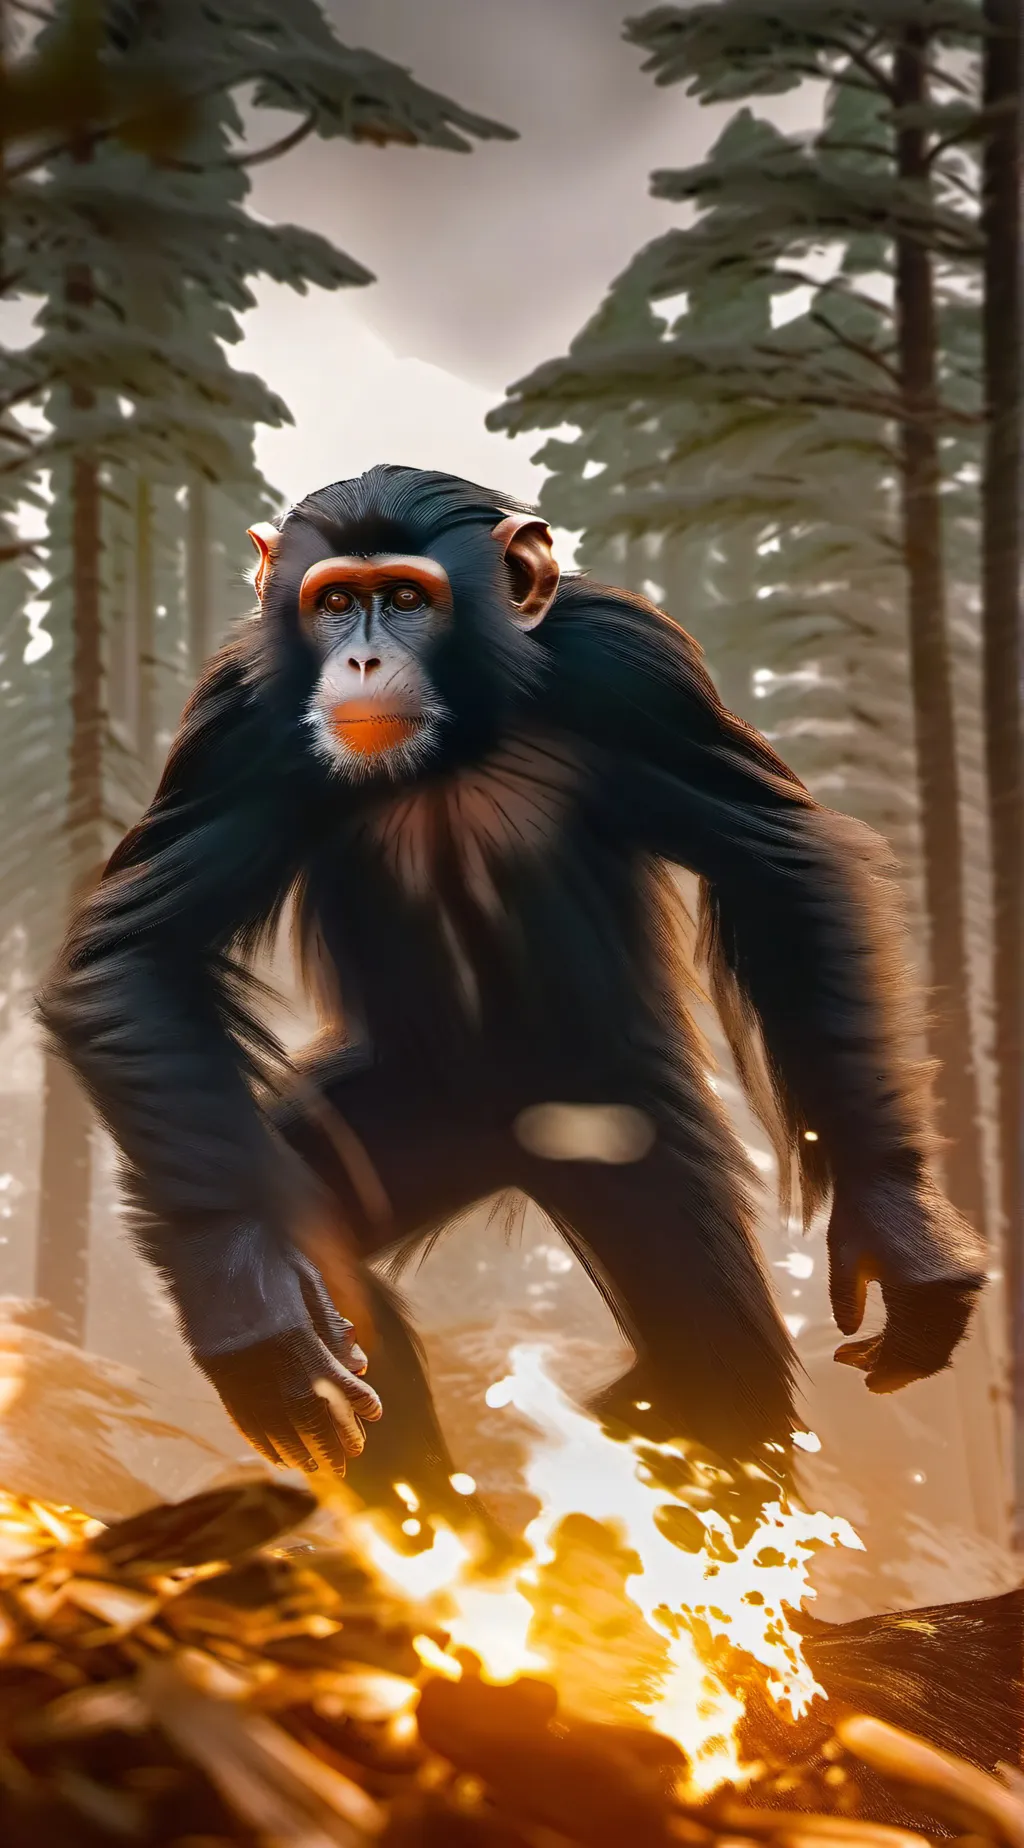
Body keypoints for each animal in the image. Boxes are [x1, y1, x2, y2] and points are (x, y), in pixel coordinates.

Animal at [38, 465, 986, 1543]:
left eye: (406, 598)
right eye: (334, 601)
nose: (361, 655)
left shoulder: (638, 666)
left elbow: (781, 866)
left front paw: (899, 1228)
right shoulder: (237, 718)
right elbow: (135, 952)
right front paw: (251, 1298)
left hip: (625, 1123)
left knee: (714, 1364)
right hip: (411, 1111)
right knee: (334, 1256)